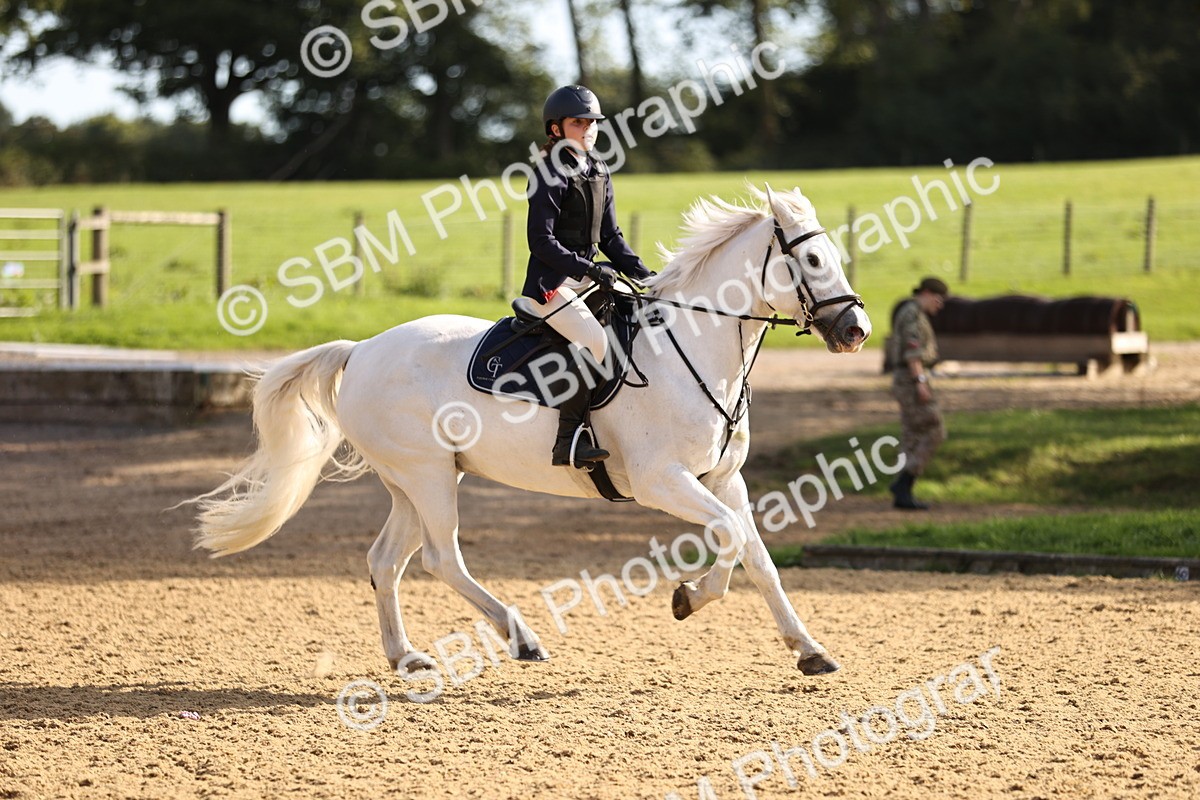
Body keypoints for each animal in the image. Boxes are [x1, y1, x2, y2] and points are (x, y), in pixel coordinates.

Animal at [192, 185, 871, 676]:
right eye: (812, 259)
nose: (856, 331)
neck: (696, 345)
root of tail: (360, 350)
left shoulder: (724, 479)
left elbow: (756, 556)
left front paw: (809, 649)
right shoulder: (663, 481)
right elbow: (731, 538)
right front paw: (688, 598)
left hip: (415, 481)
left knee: (387, 560)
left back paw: (406, 657)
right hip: (427, 475)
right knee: (441, 557)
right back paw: (521, 639)